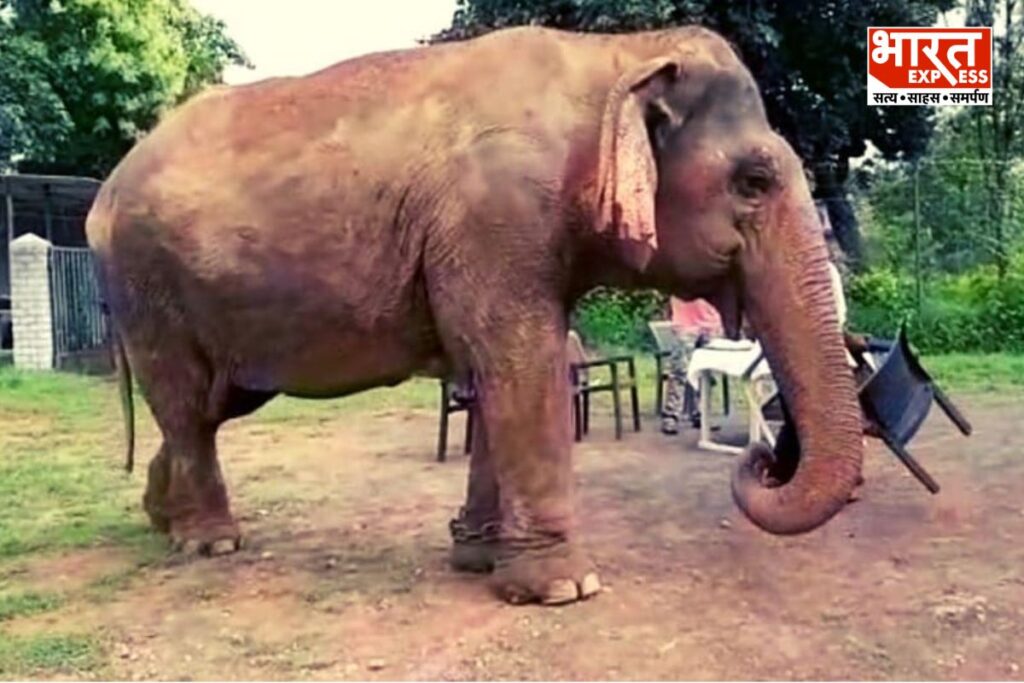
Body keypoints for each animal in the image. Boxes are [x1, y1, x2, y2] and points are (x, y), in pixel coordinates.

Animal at [86, 25, 863, 605]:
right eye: (754, 182)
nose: (763, 458)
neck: (614, 55)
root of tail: (105, 191)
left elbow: (496, 374)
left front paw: (482, 561)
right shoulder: (498, 216)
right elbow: (521, 362)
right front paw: (564, 589)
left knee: (211, 404)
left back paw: (163, 520)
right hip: (146, 281)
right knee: (186, 401)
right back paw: (211, 541)